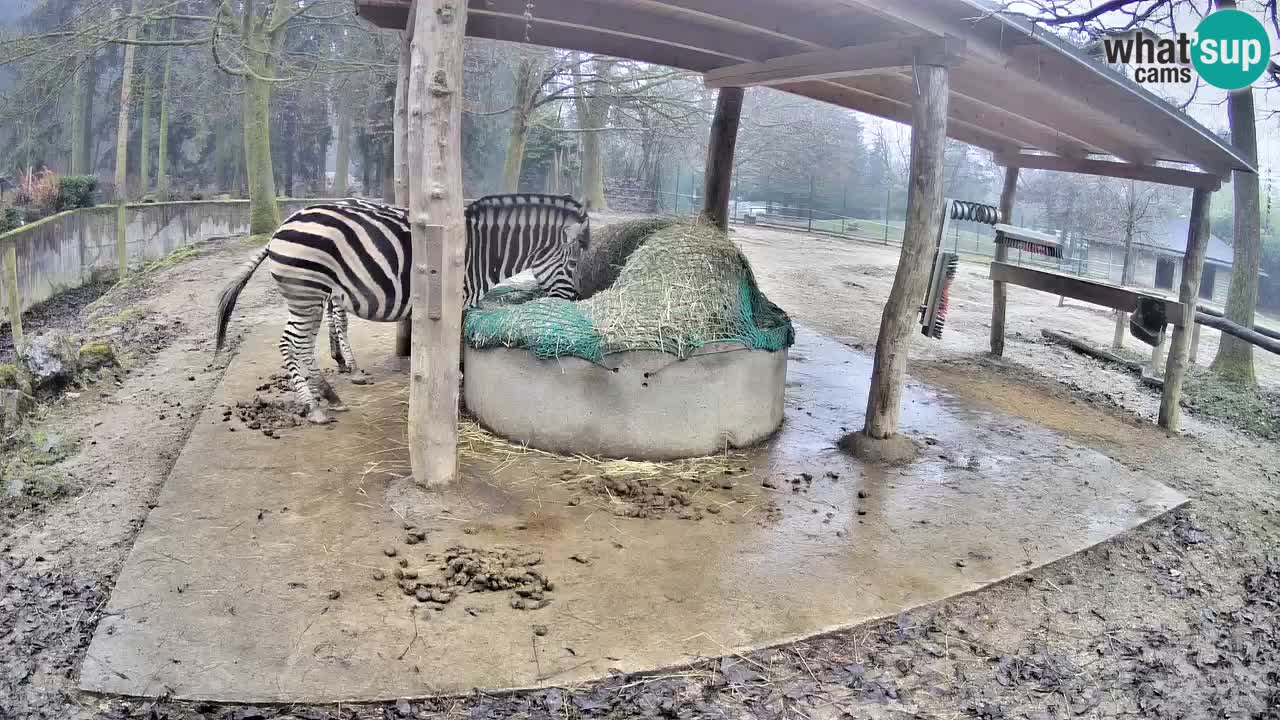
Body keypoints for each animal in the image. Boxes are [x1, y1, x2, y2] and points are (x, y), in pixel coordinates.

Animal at [215, 193, 591, 424]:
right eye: (573, 264)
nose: (572, 302)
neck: (481, 251)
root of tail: (280, 229)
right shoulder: (457, 301)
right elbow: (455, 353)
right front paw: (454, 394)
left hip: (311, 294)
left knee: (304, 345)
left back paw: (331, 395)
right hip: (306, 291)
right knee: (290, 343)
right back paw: (315, 407)